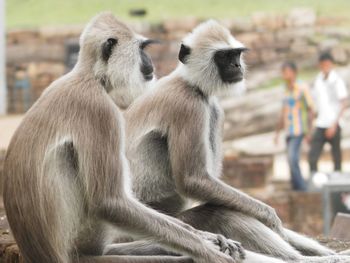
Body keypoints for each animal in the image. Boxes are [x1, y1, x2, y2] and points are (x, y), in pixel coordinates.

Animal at [2, 13, 245, 263]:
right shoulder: (102, 110)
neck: (89, 77)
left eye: (236, 55)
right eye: (141, 49)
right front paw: (208, 250)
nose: (149, 61)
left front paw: (206, 238)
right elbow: (111, 202)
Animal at [124, 20, 350, 263]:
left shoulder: (212, 108)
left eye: (236, 54)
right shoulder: (189, 105)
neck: (188, 82)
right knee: (221, 212)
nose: (236, 65)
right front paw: (270, 217)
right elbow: (194, 179)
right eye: (224, 56)